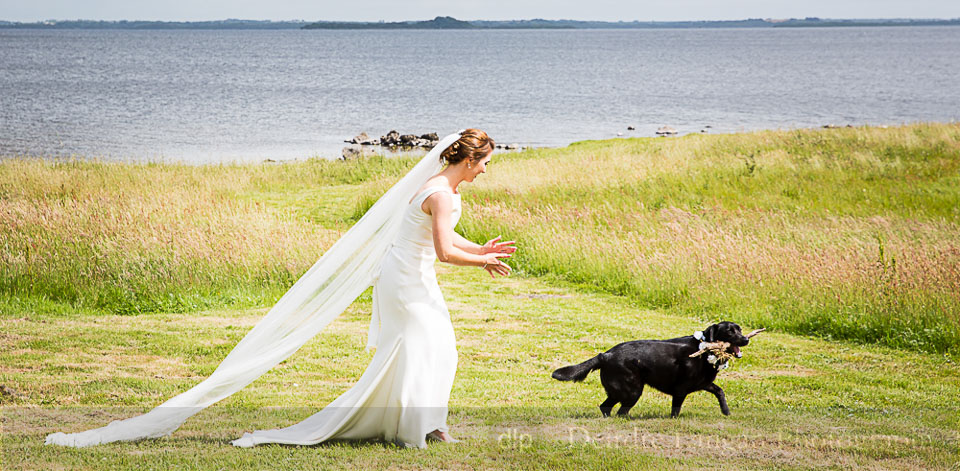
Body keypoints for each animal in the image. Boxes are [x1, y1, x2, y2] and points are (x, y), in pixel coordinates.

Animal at [548, 322, 752, 418]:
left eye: (740, 329)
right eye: (730, 331)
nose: (746, 339)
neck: (704, 350)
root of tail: (605, 355)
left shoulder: (703, 383)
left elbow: (720, 391)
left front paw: (726, 411)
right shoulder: (681, 390)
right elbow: (675, 410)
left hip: (620, 391)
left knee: (605, 407)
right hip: (633, 390)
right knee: (621, 412)